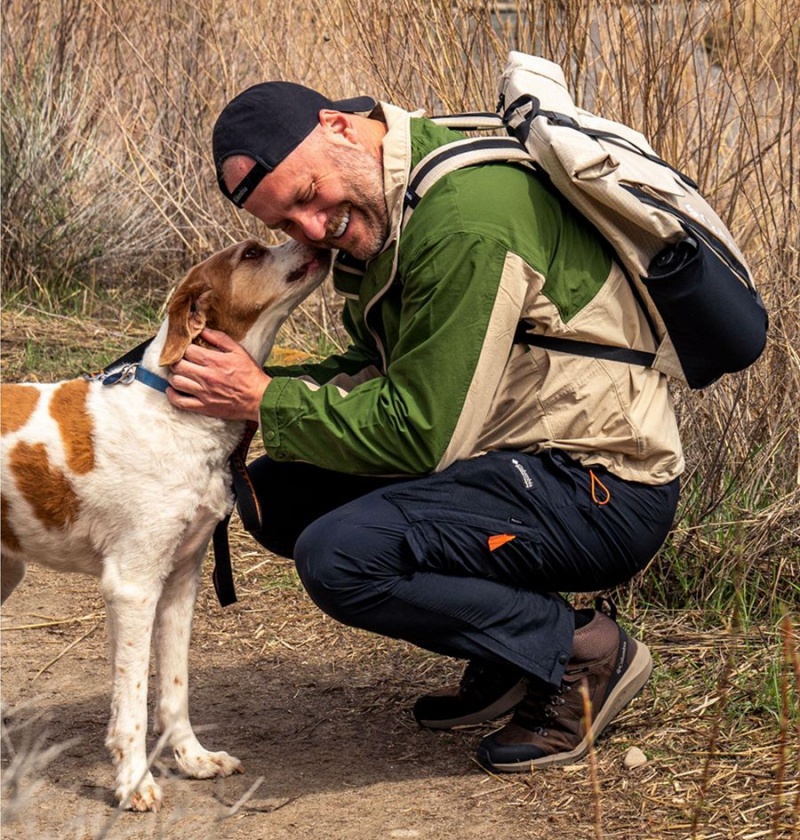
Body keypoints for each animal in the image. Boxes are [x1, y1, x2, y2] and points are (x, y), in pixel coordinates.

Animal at [0, 238, 332, 812]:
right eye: (251, 253)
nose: (314, 238)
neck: (178, 410)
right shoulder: (133, 587)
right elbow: (132, 705)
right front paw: (135, 783)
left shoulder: (180, 579)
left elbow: (173, 689)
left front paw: (192, 759)